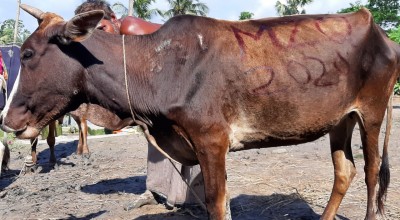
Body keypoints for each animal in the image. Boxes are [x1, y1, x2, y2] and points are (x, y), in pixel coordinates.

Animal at [1, 4, 398, 219]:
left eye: (28, 54)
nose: (7, 120)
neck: (156, 66)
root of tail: (378, 30)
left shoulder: (211, 141)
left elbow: (216, 203)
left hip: (373, 112)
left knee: (371, 172)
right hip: (339, 121)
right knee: (344, 171)